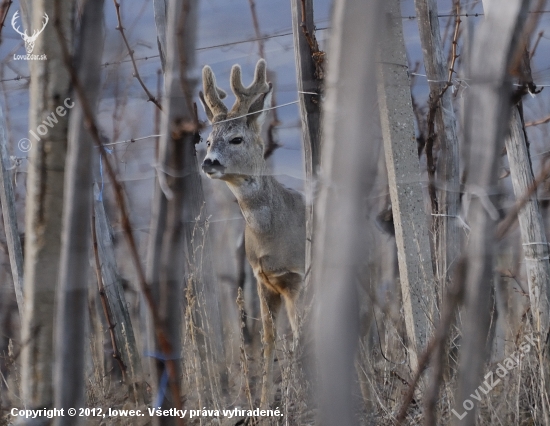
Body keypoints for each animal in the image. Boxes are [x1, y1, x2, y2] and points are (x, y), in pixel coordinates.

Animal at [202, 59, 306, 406]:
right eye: (207, 141)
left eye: (236, 139)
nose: (208, 162)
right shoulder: (263, 280)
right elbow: (268, 339)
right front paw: (263, 403)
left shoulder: (298, 276)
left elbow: (300, 335)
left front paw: (299, 397)